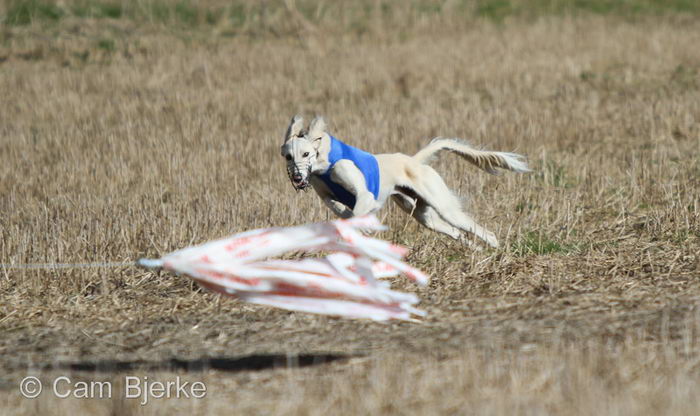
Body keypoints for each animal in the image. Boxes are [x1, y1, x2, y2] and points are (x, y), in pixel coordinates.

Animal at [278, 114, 532, 247]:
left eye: (306, 154)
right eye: (288, 156)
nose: (298, 178)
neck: (324, 163)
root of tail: (414, 161)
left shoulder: (365, 195)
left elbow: (357, 210)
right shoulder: (328, 198)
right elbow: (342, 211)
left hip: (444, 207)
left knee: (480, 230)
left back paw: (496, 249)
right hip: (423, 215)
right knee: (455, 232)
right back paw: (474, 251)